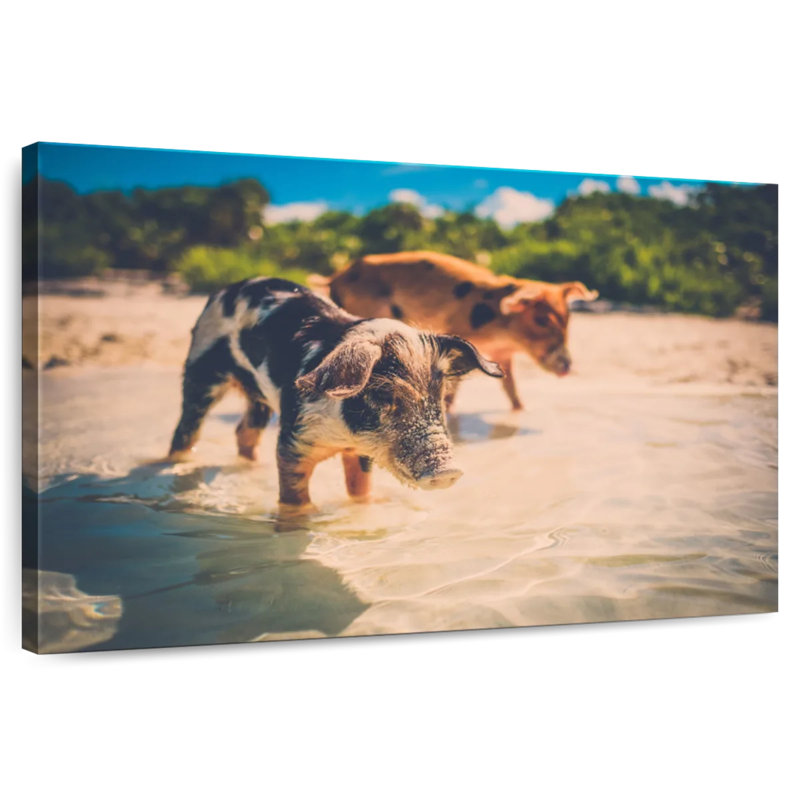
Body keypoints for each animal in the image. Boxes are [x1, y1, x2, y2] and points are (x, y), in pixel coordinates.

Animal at [168, 277, 503, 509]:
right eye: (383, 395)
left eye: (439, 397)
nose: (448, 470)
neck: (343, 435)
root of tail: (224, 290)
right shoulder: (294, 438)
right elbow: (294, 497)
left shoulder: (360, 452)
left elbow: (359, 490)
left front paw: (364, 509)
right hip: (200, 367)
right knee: (186, 427)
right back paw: (177, 464)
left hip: (257, 396)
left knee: (244, 430)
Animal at [321, 251, 597, 411]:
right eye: (542, 320)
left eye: (567, 320)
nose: (567, 367)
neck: (502, 333)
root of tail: (334, 278)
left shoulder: (503, 354)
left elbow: (510, 386)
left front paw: (521, 410)